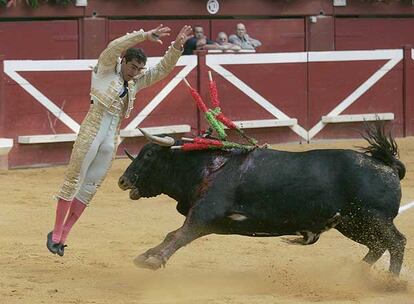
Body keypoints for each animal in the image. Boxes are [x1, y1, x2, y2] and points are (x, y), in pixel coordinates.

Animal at [118, 123, 406, 276]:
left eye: (149, 155)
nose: (122, 180)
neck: (208, 166)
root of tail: (387, 165)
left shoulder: (205, 213)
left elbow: (179, 234)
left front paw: (153, 260)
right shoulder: (211, 221)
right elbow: (174, 234)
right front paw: (146, 256)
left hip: (374, 217)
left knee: (396, 242)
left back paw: (390, 281)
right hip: (351, 223)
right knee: (377, 246)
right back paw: (356, 274)